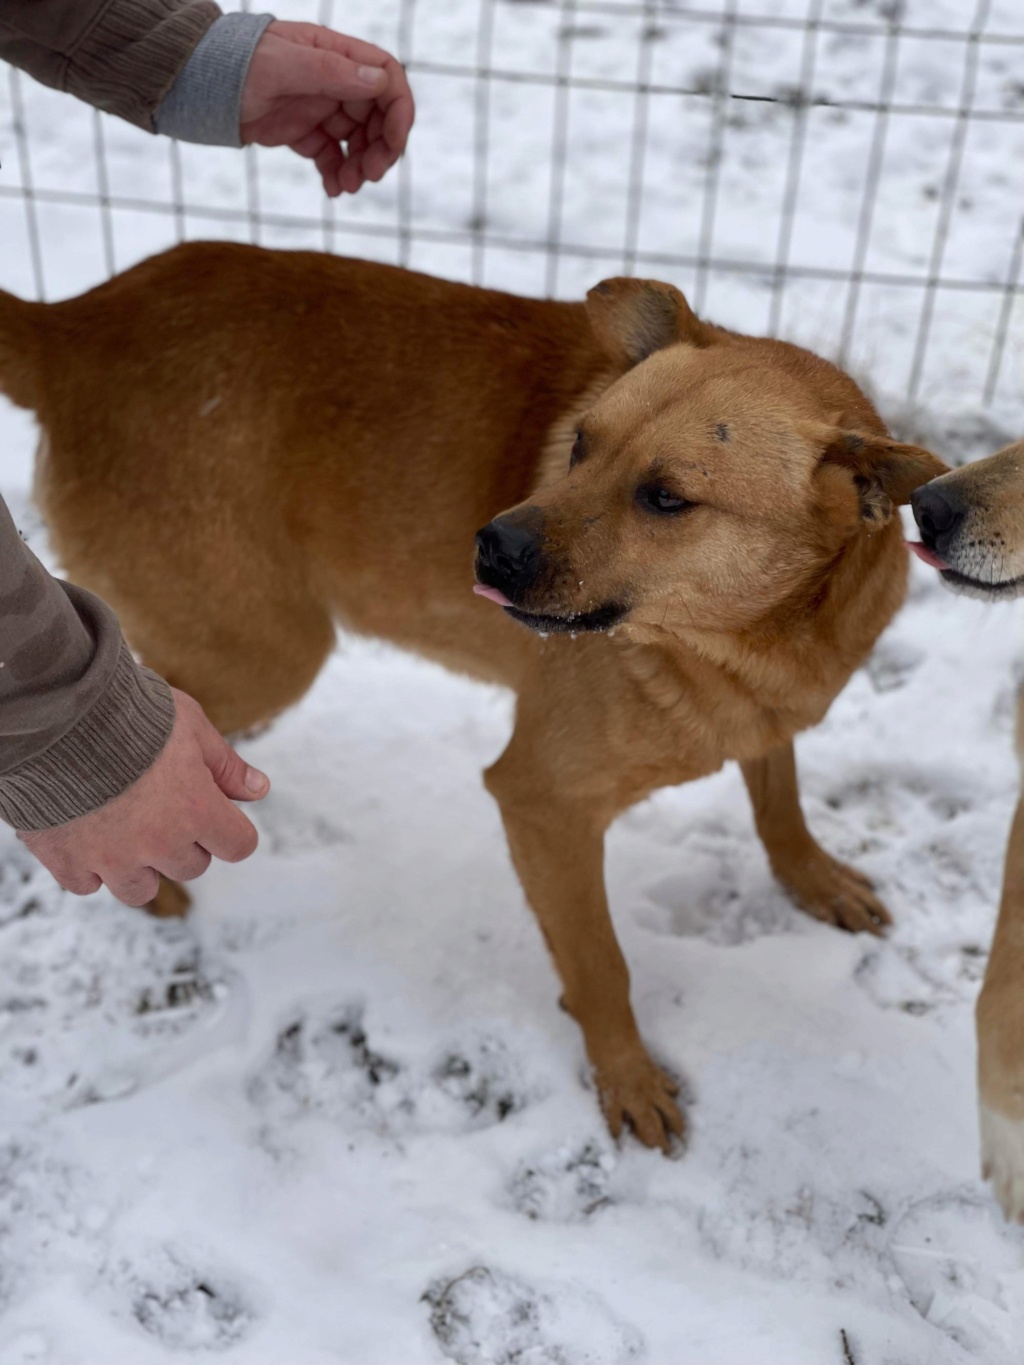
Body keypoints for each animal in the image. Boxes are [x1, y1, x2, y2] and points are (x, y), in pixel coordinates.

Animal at [0, 242, 944, 1141]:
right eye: (579, 443)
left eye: (668, 498)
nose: (489, 546)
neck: (744, 644)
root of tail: (73, 324)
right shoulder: (541, 802)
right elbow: (600, 961)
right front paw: (627, 1077)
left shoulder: (764, 716)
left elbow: (779, 799)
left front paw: (812, 878)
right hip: (264, 650)